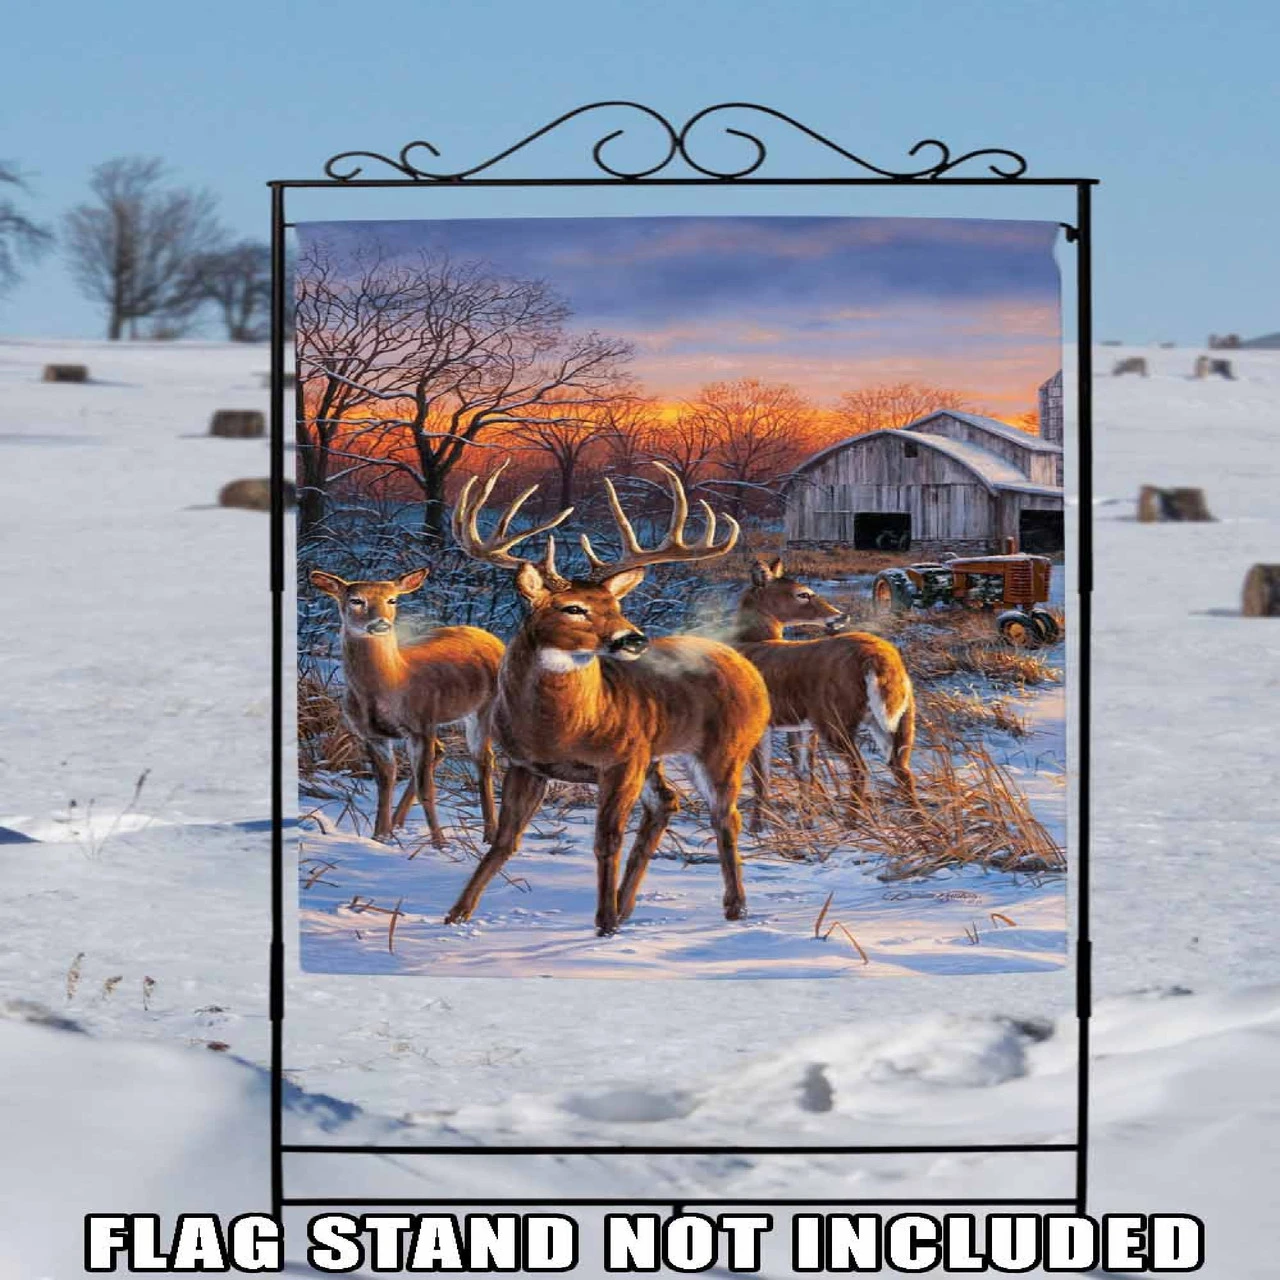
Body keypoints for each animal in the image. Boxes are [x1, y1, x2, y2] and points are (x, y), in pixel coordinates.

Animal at [308, 568, 503, 847]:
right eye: (356, 600)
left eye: (392, 600)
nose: (380, 623)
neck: (393, 681)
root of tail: (492, 638)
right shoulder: (371, 735)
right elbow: (385, 784)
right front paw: (380, 836)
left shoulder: (420, 726)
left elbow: (427, 789)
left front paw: (439, 844)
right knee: (442, 750)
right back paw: (397, 824)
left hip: (483, 709)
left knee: (484, 760)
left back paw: (490, 835)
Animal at [444, 462, 771, 936]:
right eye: (573, 608)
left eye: (615, 605)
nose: (632, 638)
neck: (562, 729)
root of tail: (746, 666)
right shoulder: (525, 764)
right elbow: (505, 840)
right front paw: (456, 915)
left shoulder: (620, 761)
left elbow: (606, 839)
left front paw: (603, 925)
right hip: (654, 756)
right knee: (666, 803)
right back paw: (628, 904)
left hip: (724, 748)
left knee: (726, 817)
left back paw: (734, 908)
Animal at [730, 556, 918, 830]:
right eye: (802, 594)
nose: (841, 616)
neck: (750, 642)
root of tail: (877, 658)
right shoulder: (801, 726)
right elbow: (803, 772)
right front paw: (807, 822)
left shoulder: (762, 722)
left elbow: (761, 777)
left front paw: (757, 828)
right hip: (901, 716)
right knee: (901, 767)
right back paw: (921, 822)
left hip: (835, 718)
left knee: (860, 768)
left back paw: (851, 823)